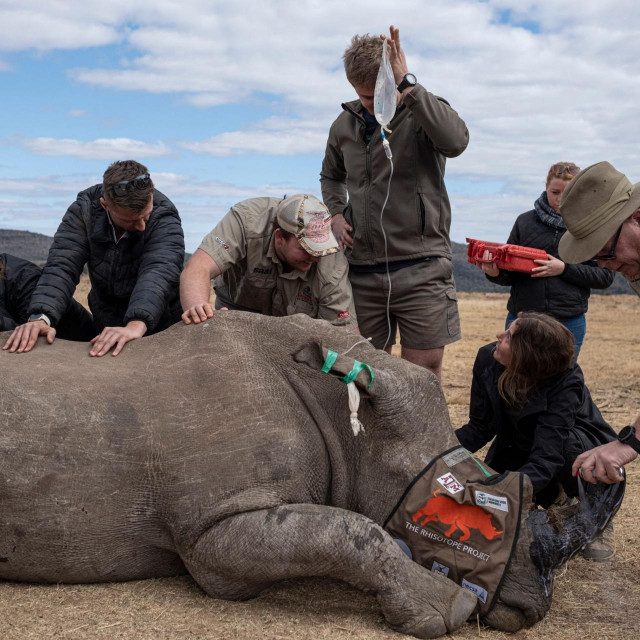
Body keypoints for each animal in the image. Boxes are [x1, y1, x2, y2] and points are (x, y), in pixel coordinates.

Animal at [0, 313, 623, 638]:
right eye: (464, 502)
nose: (532, 610)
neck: (343, 420)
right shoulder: (210, 533)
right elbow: (349, 532)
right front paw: (448, 610)